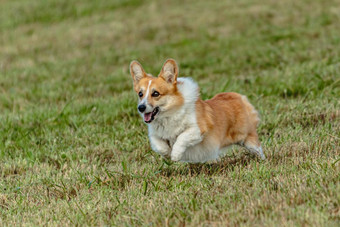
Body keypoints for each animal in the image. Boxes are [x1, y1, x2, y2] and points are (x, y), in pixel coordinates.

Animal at [130, 57, 266, 162]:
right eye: (140, 94)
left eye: (156, 94)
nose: (141, 108)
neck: (168, 115)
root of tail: (238, 97)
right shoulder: (154, 135)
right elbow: (158, 145)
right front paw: (167, 153)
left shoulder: (197, 129)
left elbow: (181, 138)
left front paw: (175, 155)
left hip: (248, 139)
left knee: (258, 149)